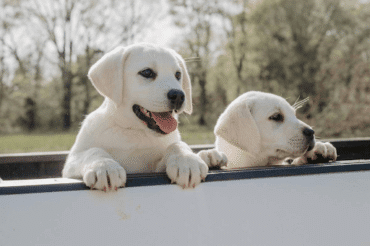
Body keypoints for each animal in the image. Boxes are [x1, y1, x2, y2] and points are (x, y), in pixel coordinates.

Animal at [62, 43, 227, 190]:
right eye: (147, 73)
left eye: (178, 75)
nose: (179, 96)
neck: (134, 132)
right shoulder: (70, 165)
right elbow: (93, 151)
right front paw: (105, 167)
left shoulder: (155, 168)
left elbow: (177, 145)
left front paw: (186, 160)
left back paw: (210, 155)